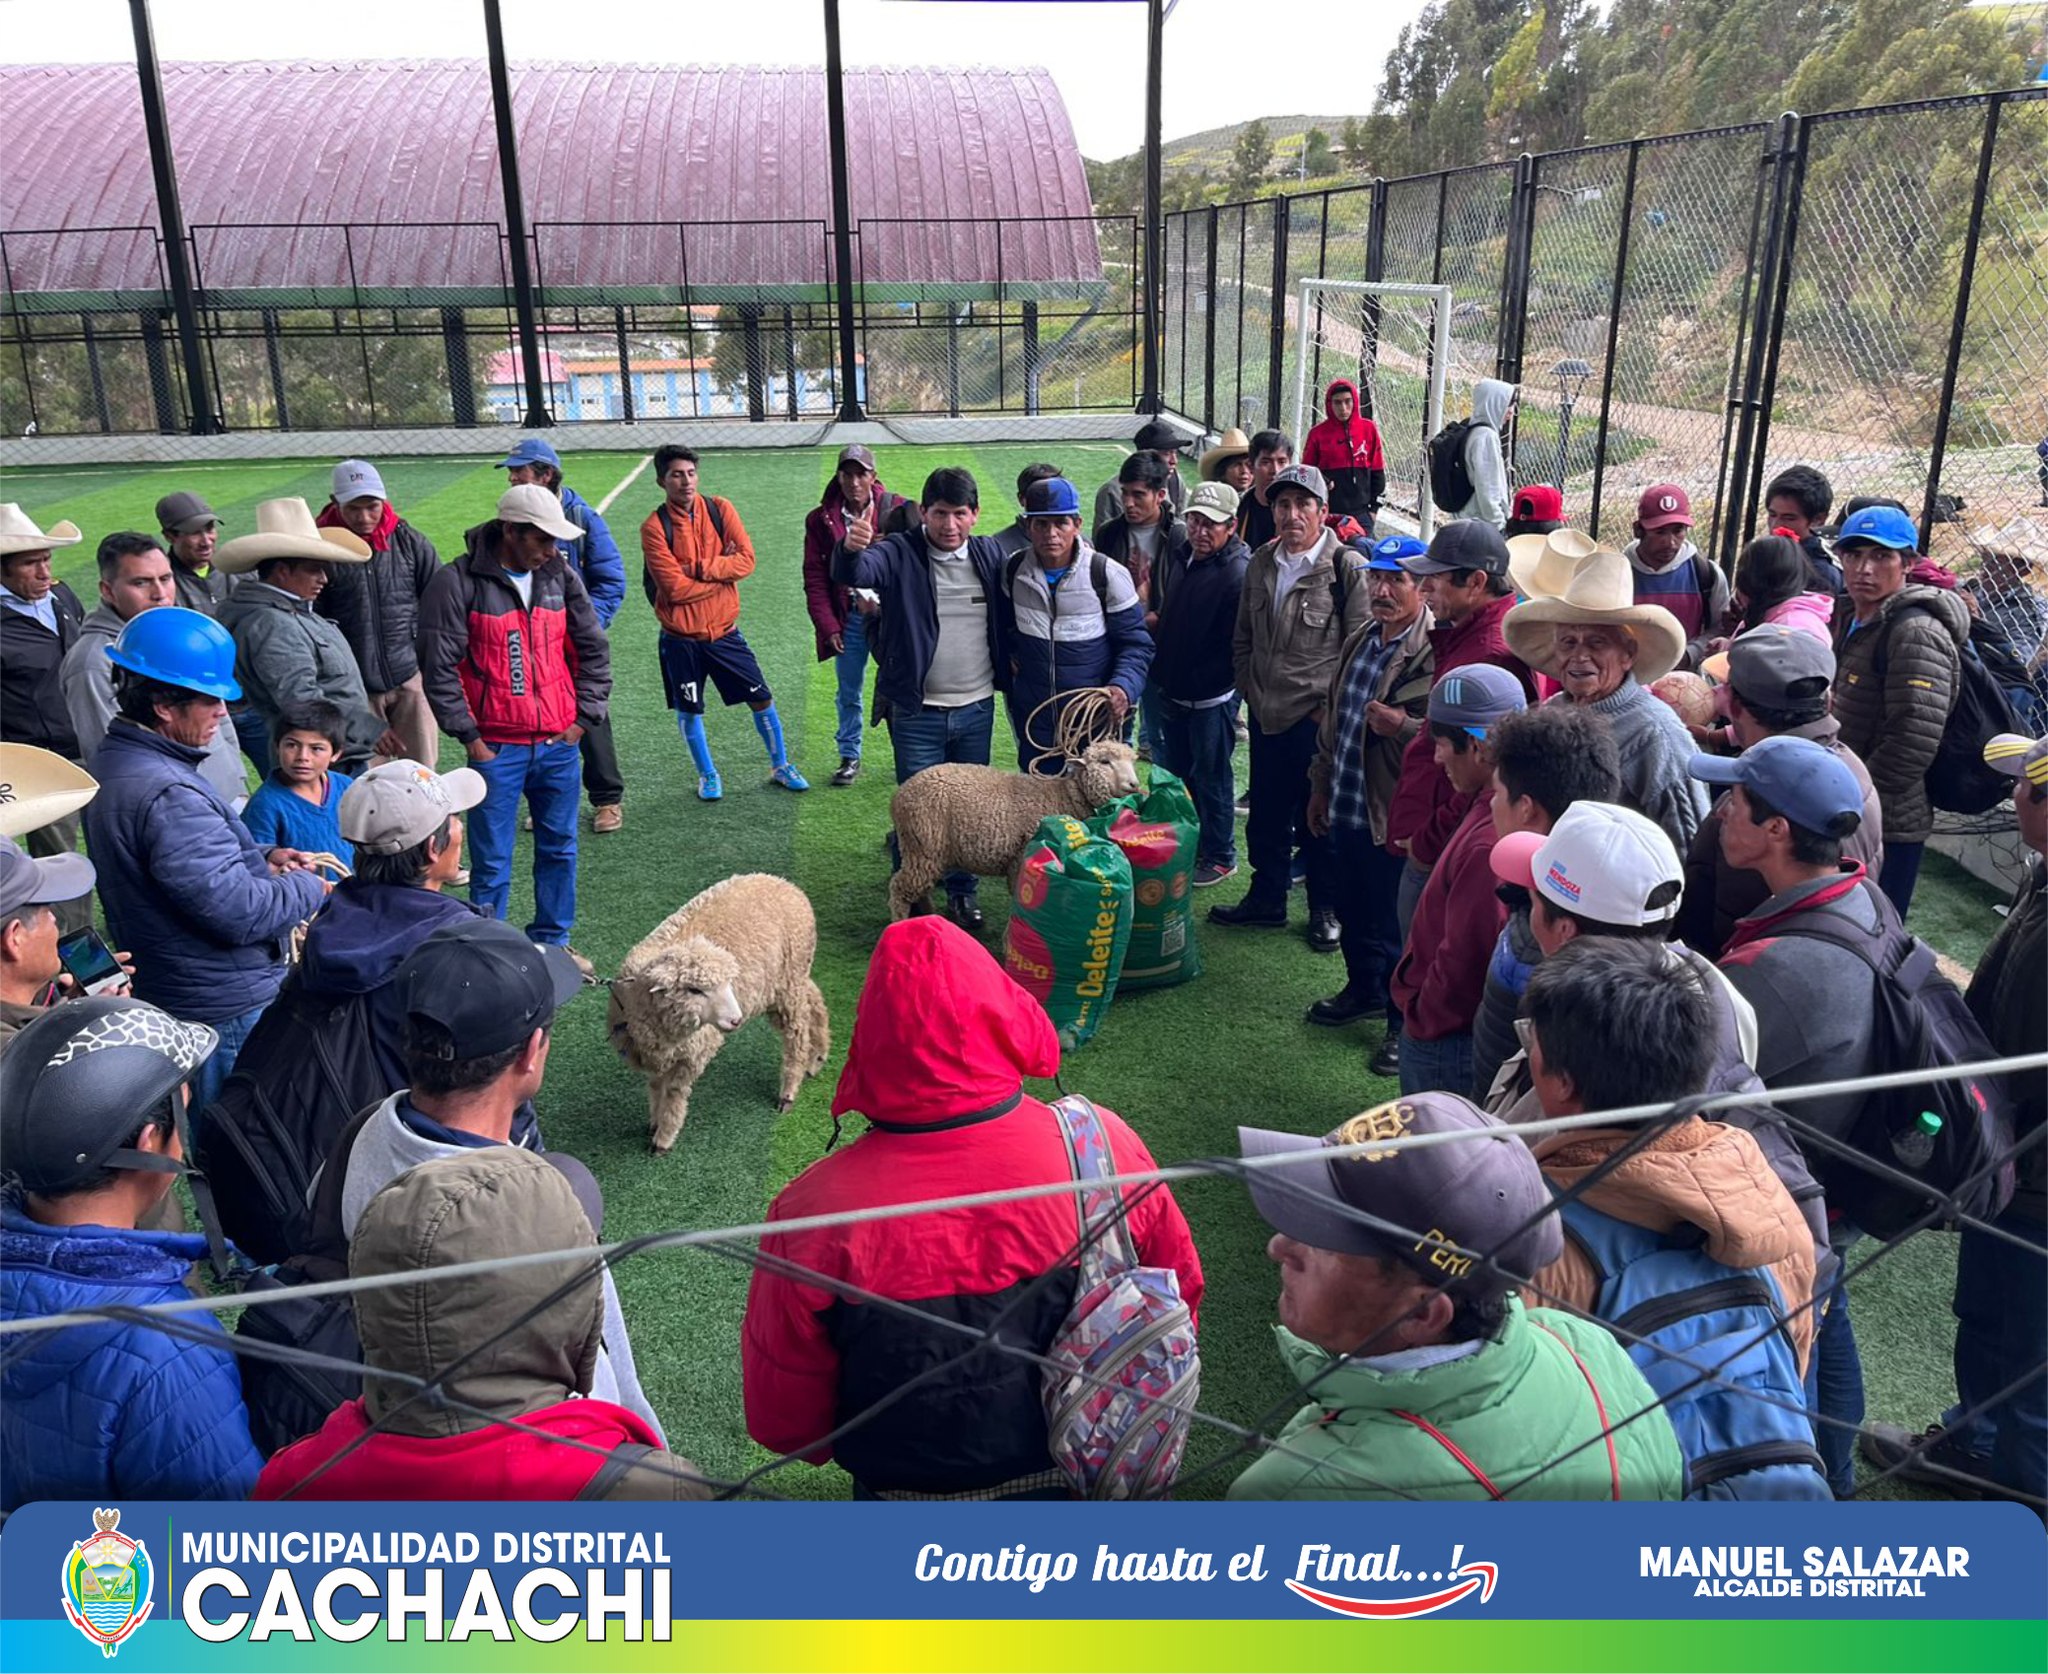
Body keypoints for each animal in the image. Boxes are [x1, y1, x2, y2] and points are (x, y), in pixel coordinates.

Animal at [607, 873, 831, 1153]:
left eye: (728, 983)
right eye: (694, 990)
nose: (736, 1019)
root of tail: (787, 885)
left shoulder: (692, 1054)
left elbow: (674, 1094)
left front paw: (664, 1137)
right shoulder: (657, 1051)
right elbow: (656, 1086)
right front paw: (655, 1122)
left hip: (789, 983)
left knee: (796, 1034)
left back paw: (789, 1089)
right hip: (786, 981)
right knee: (814, 999)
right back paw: (818, 1055)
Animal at [887, 740, 1141, 920]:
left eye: (1133, 761)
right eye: (1105, 761)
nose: (1134, 785)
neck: (1064, 797)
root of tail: (900, 794)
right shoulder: (1020, 859)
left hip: (925, 851)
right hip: (923, 846)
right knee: (899, 888)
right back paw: (900, 924)